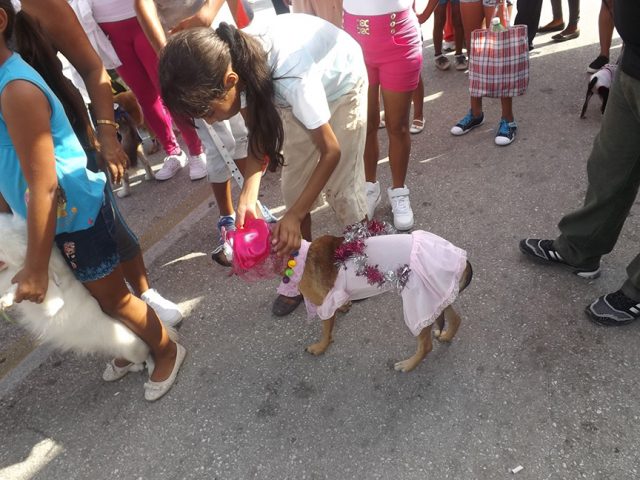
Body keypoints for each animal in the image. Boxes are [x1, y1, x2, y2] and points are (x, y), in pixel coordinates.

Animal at [298, 234, 472, 374]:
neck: (302, 258)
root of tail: (459, 256)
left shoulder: (325, 306)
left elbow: (326, 332)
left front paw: (320, 347)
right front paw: (344, 306)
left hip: (420, 304)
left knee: (427, 346)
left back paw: (408, 365)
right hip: (438, 296)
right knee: (456, 319)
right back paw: (446, 336)